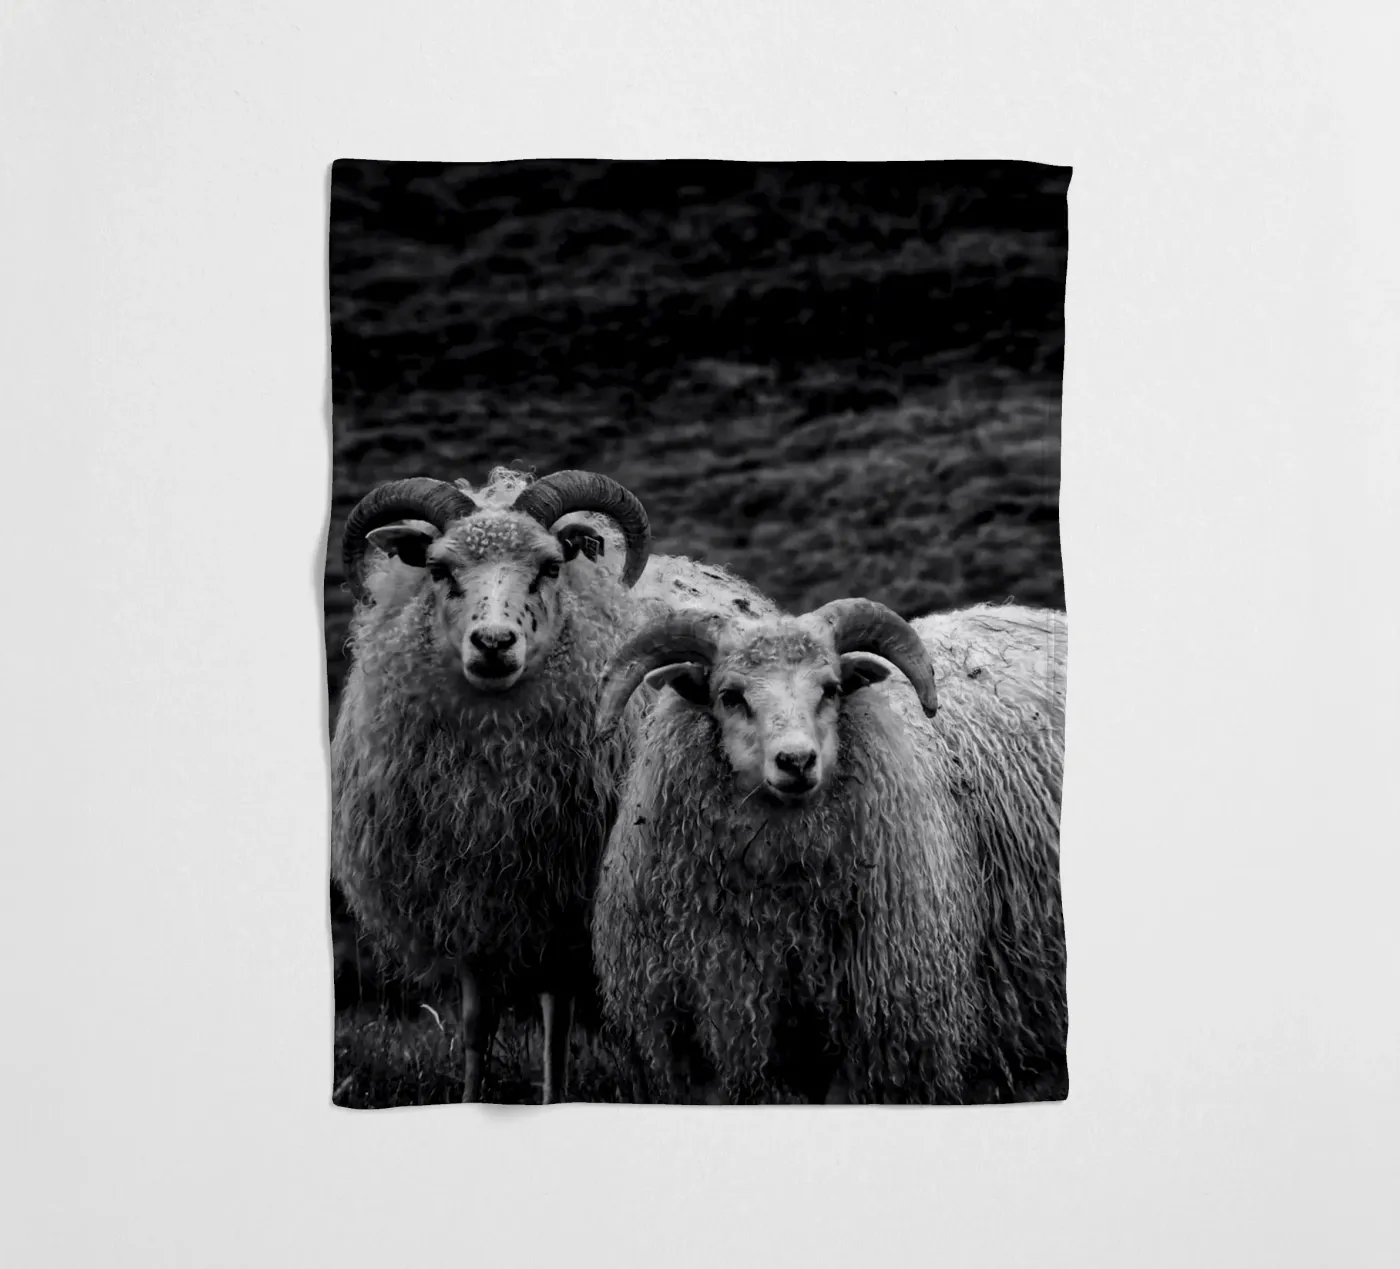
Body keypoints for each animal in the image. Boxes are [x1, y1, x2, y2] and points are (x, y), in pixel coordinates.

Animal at [330, 465, 774, 1103]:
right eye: (439, 570)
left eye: (548, 566)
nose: (493, 644)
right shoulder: (469, 902)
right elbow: (475, 1022)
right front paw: (470, 1096)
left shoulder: (565, 902)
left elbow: (557, 1021)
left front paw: (554, 1095)